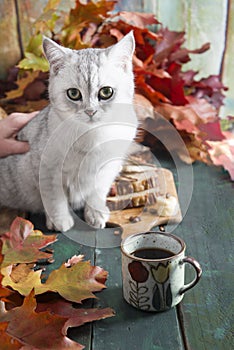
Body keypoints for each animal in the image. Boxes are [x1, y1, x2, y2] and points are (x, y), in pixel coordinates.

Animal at [0, 31, 137, 231]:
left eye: (106, 92)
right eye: (73, 94)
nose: (90, 111)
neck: (91, 136)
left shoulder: (107, 168)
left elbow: (97, 191)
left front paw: (95, 212)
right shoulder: (47, 171)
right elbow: (55, 199)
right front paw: (60, 220)